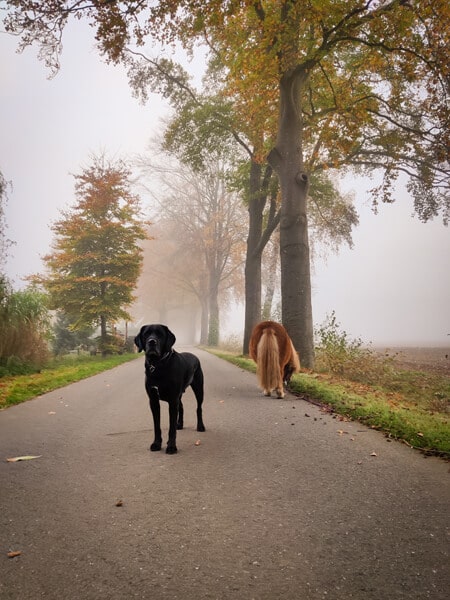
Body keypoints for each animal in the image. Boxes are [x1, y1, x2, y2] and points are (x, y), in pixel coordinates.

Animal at [134, 324, 204, 454]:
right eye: (146, 334)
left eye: (160, 334)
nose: (152, 342)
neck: (158, 365)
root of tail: (194, 356)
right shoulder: (154, 401)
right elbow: (157, 426)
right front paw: (156, 444)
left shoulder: (172, 400)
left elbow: (171, 428)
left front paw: (171, 446)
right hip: (179, 395)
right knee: (181, 407)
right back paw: (179, 424)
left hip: (199, 389)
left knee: (199, 408)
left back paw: (200, 426)